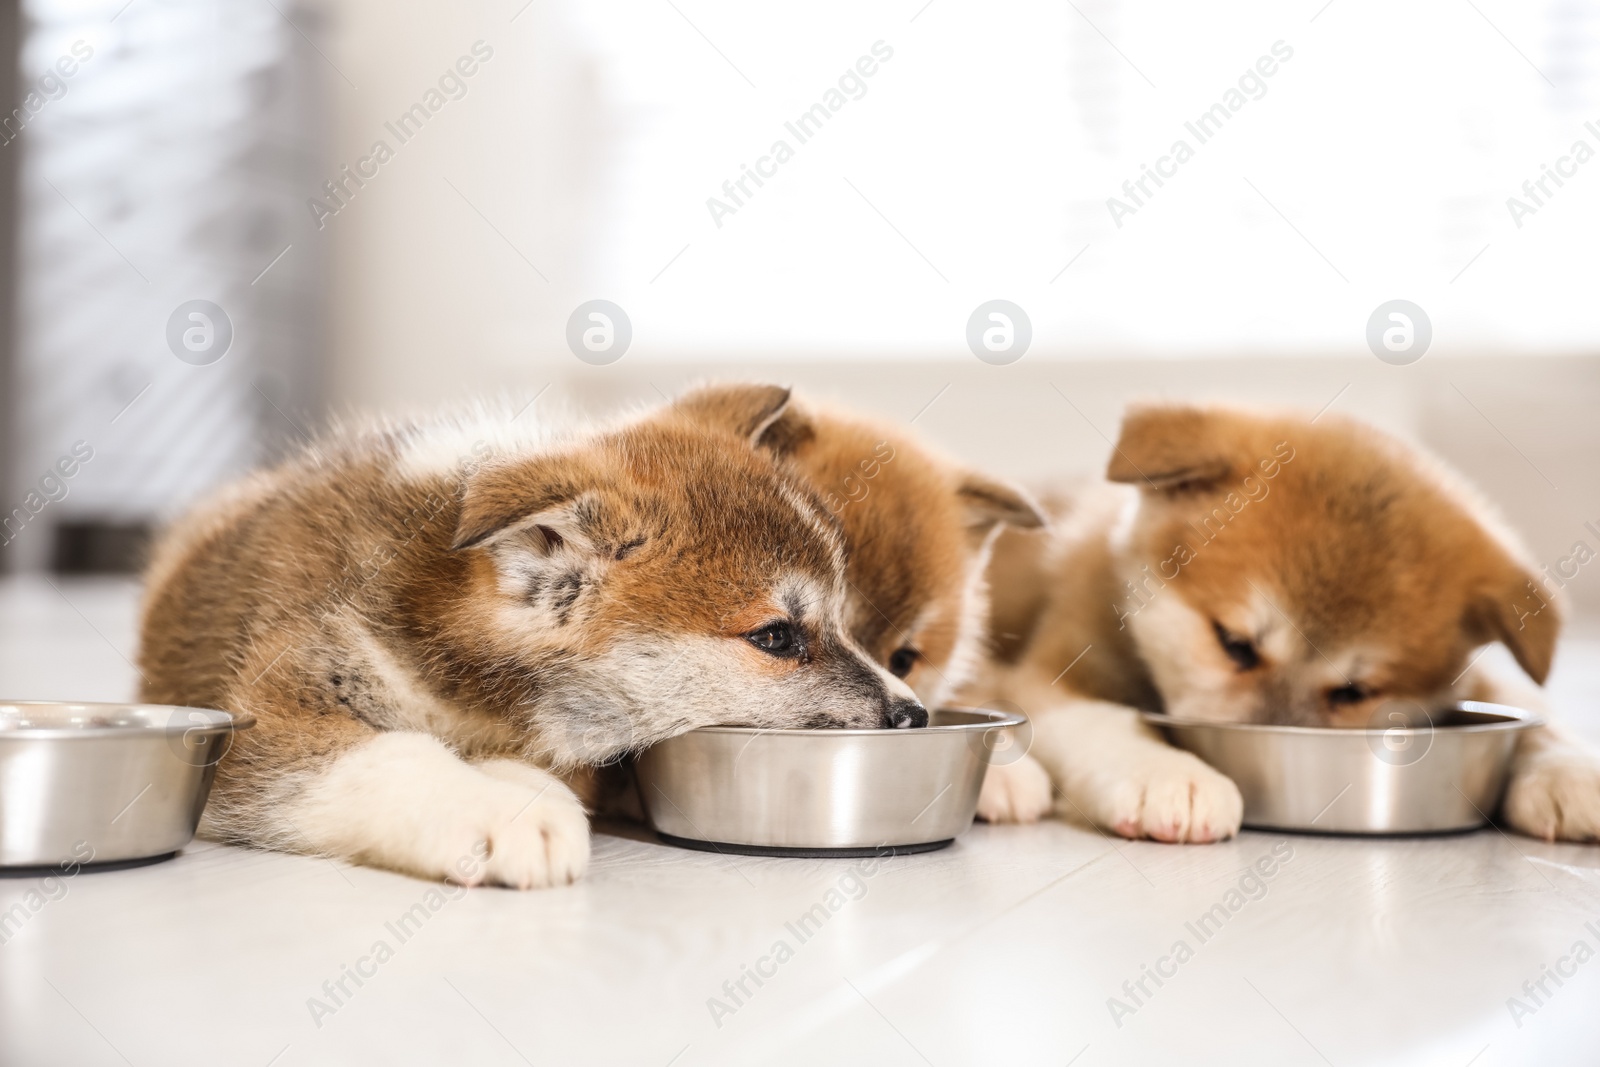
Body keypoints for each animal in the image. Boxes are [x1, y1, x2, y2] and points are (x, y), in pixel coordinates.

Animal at [147, 388, 934, 889]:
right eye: (776, 636)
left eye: (840, 620)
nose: (914, 714)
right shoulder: (265, 720)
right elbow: (394, 752)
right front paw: (488, 811)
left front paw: (527, 793)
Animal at [966, 399, 1593, 844]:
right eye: (1234, 643)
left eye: (1355, 692)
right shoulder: (1053, 673)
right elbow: (1110, 721)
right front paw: (1167, 774)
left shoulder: (1477, 683)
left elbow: (1535, 714)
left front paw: (1568, 772)